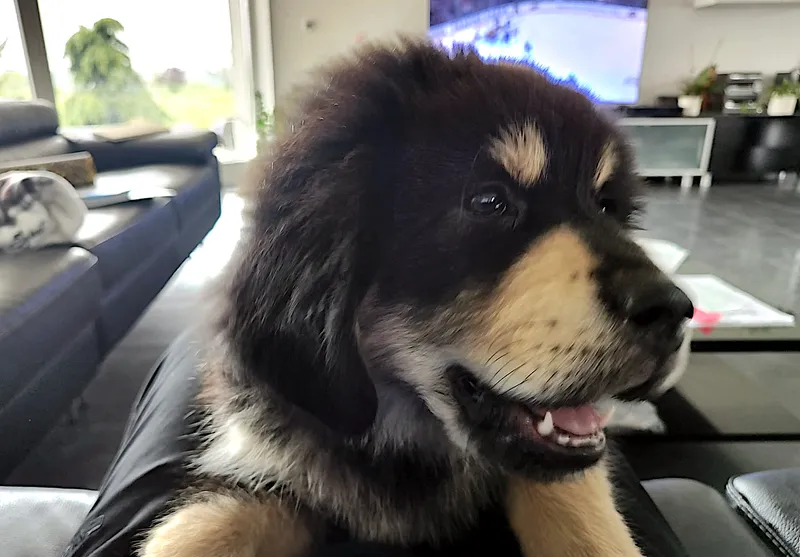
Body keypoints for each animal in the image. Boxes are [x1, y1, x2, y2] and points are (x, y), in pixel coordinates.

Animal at [140, 41, 693, 557]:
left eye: (607, 207)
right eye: (489, 201)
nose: (673, 311)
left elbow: (580, 509)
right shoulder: (266, 464)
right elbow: (200, 528)